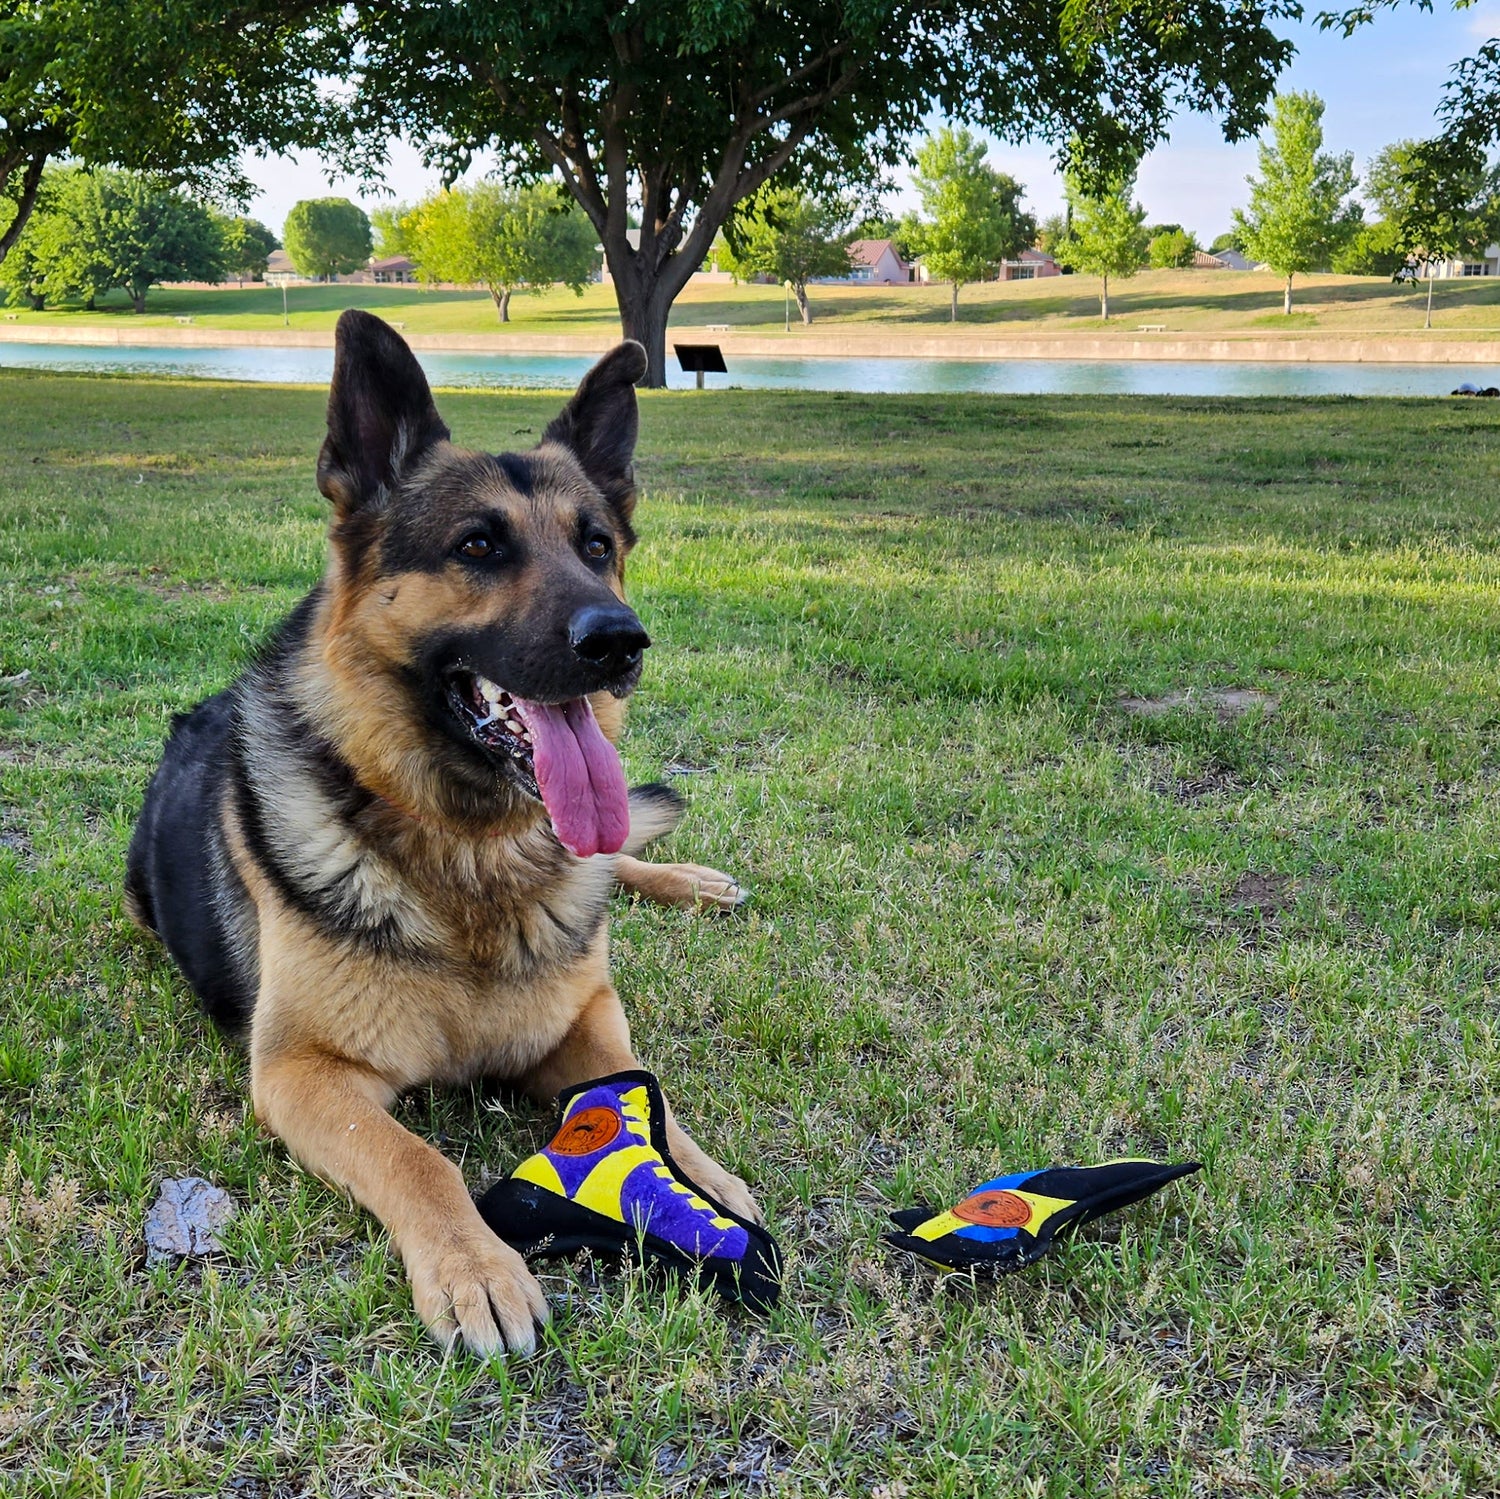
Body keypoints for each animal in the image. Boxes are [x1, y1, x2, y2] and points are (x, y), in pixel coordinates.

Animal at [126, 316, 762, 1362]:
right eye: (478, 545)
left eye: (597, 545)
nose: (620, 640)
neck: (470, 856)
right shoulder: (302, 1073)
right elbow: (417, 1156)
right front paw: (474, 1268)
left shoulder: (589, 1014)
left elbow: (653, 1096)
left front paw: (702, 1177)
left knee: (613, 856)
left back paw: (689, 879)